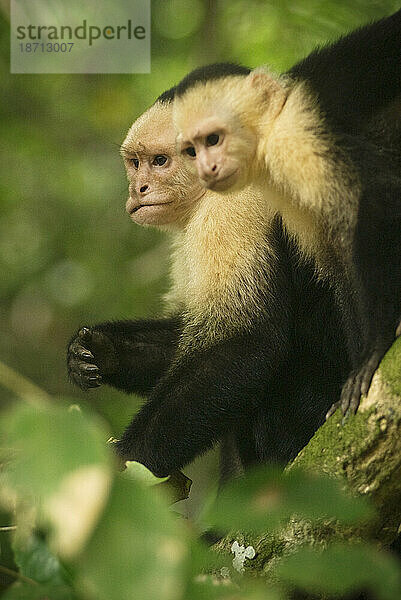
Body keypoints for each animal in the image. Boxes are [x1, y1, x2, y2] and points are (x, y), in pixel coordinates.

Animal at [65, 84, 346, 478]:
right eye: (135, 163)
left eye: (160, 161)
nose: (138, 189)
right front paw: (99, 350)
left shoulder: (232, 208)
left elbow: (243, 342)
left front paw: (125, 468)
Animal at [173, 10, 400, 422]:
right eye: (191, 151)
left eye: (212, 140)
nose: (206, 170)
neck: (272, 125)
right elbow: (337, 259)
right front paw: (356, 369)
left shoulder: (297, 139)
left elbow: (380, 198)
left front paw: (377, 346)